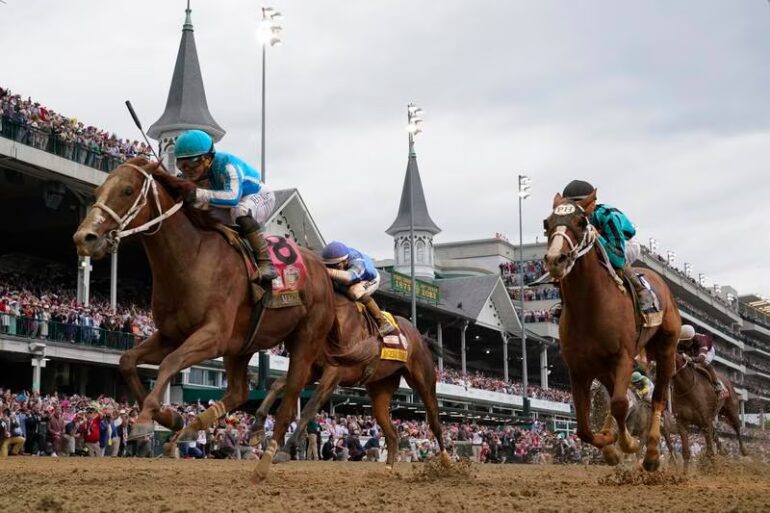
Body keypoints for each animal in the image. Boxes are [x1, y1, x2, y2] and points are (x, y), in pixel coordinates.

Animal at [71, 158, 348, 482]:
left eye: (127, 190)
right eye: (97, 192)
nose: (84, 238)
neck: (192, 258)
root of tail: (324, 272)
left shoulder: (212, 335)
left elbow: (170, 363)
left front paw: (146, 419)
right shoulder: (170, 335)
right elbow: (127, 361)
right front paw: (171, 418)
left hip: (305, 340)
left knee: (291, 396)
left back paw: (267, 457)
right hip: (242, 346)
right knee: (240, 391)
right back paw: (190, 430)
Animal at [252, 292, 448, 468]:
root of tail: (421, 337)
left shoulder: (334, 371)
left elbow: (310, 406)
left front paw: (284, 450)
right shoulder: (313, 369)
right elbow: (277, 384)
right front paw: (256, 429)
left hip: (424, 380)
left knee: (434, 422)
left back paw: (447, 462)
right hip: (381, 386)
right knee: (392, 433)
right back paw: (387, 471)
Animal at [540, 190, 680, 470]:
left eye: (581, 222)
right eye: (546, 224)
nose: (555, 260)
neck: (589, 307)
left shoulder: (624, 357)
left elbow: (619, 404)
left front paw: (628, 444)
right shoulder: (578, 369)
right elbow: (584, 428)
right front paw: (609, 445)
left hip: (666, 349)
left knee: (658, 397)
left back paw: (651, 454)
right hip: (604, 369)